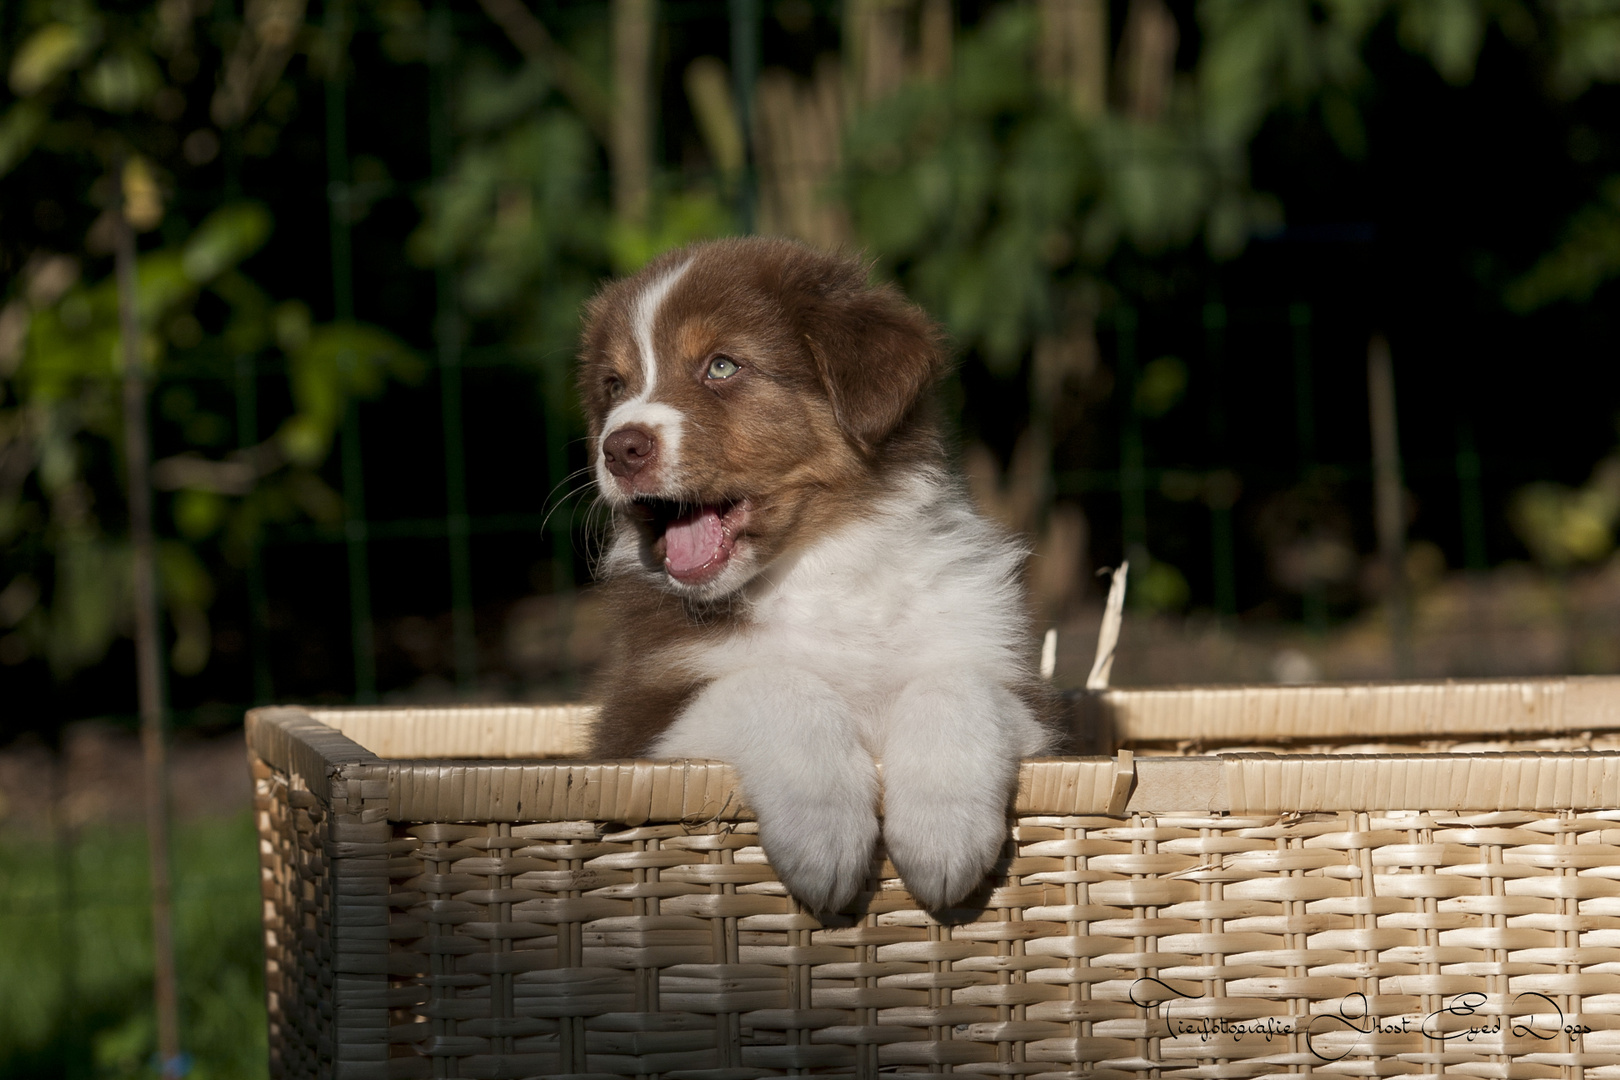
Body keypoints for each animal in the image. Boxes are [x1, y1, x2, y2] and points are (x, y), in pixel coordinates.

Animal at [576, 236, 1056, 913]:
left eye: (721, 367)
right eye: (614, 385)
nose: (619, 447)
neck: (815, 570)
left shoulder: (1018, 695)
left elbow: (958, 686)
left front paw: (942, 834)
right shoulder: (638, 733)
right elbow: (773, 683)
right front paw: (825, 835)